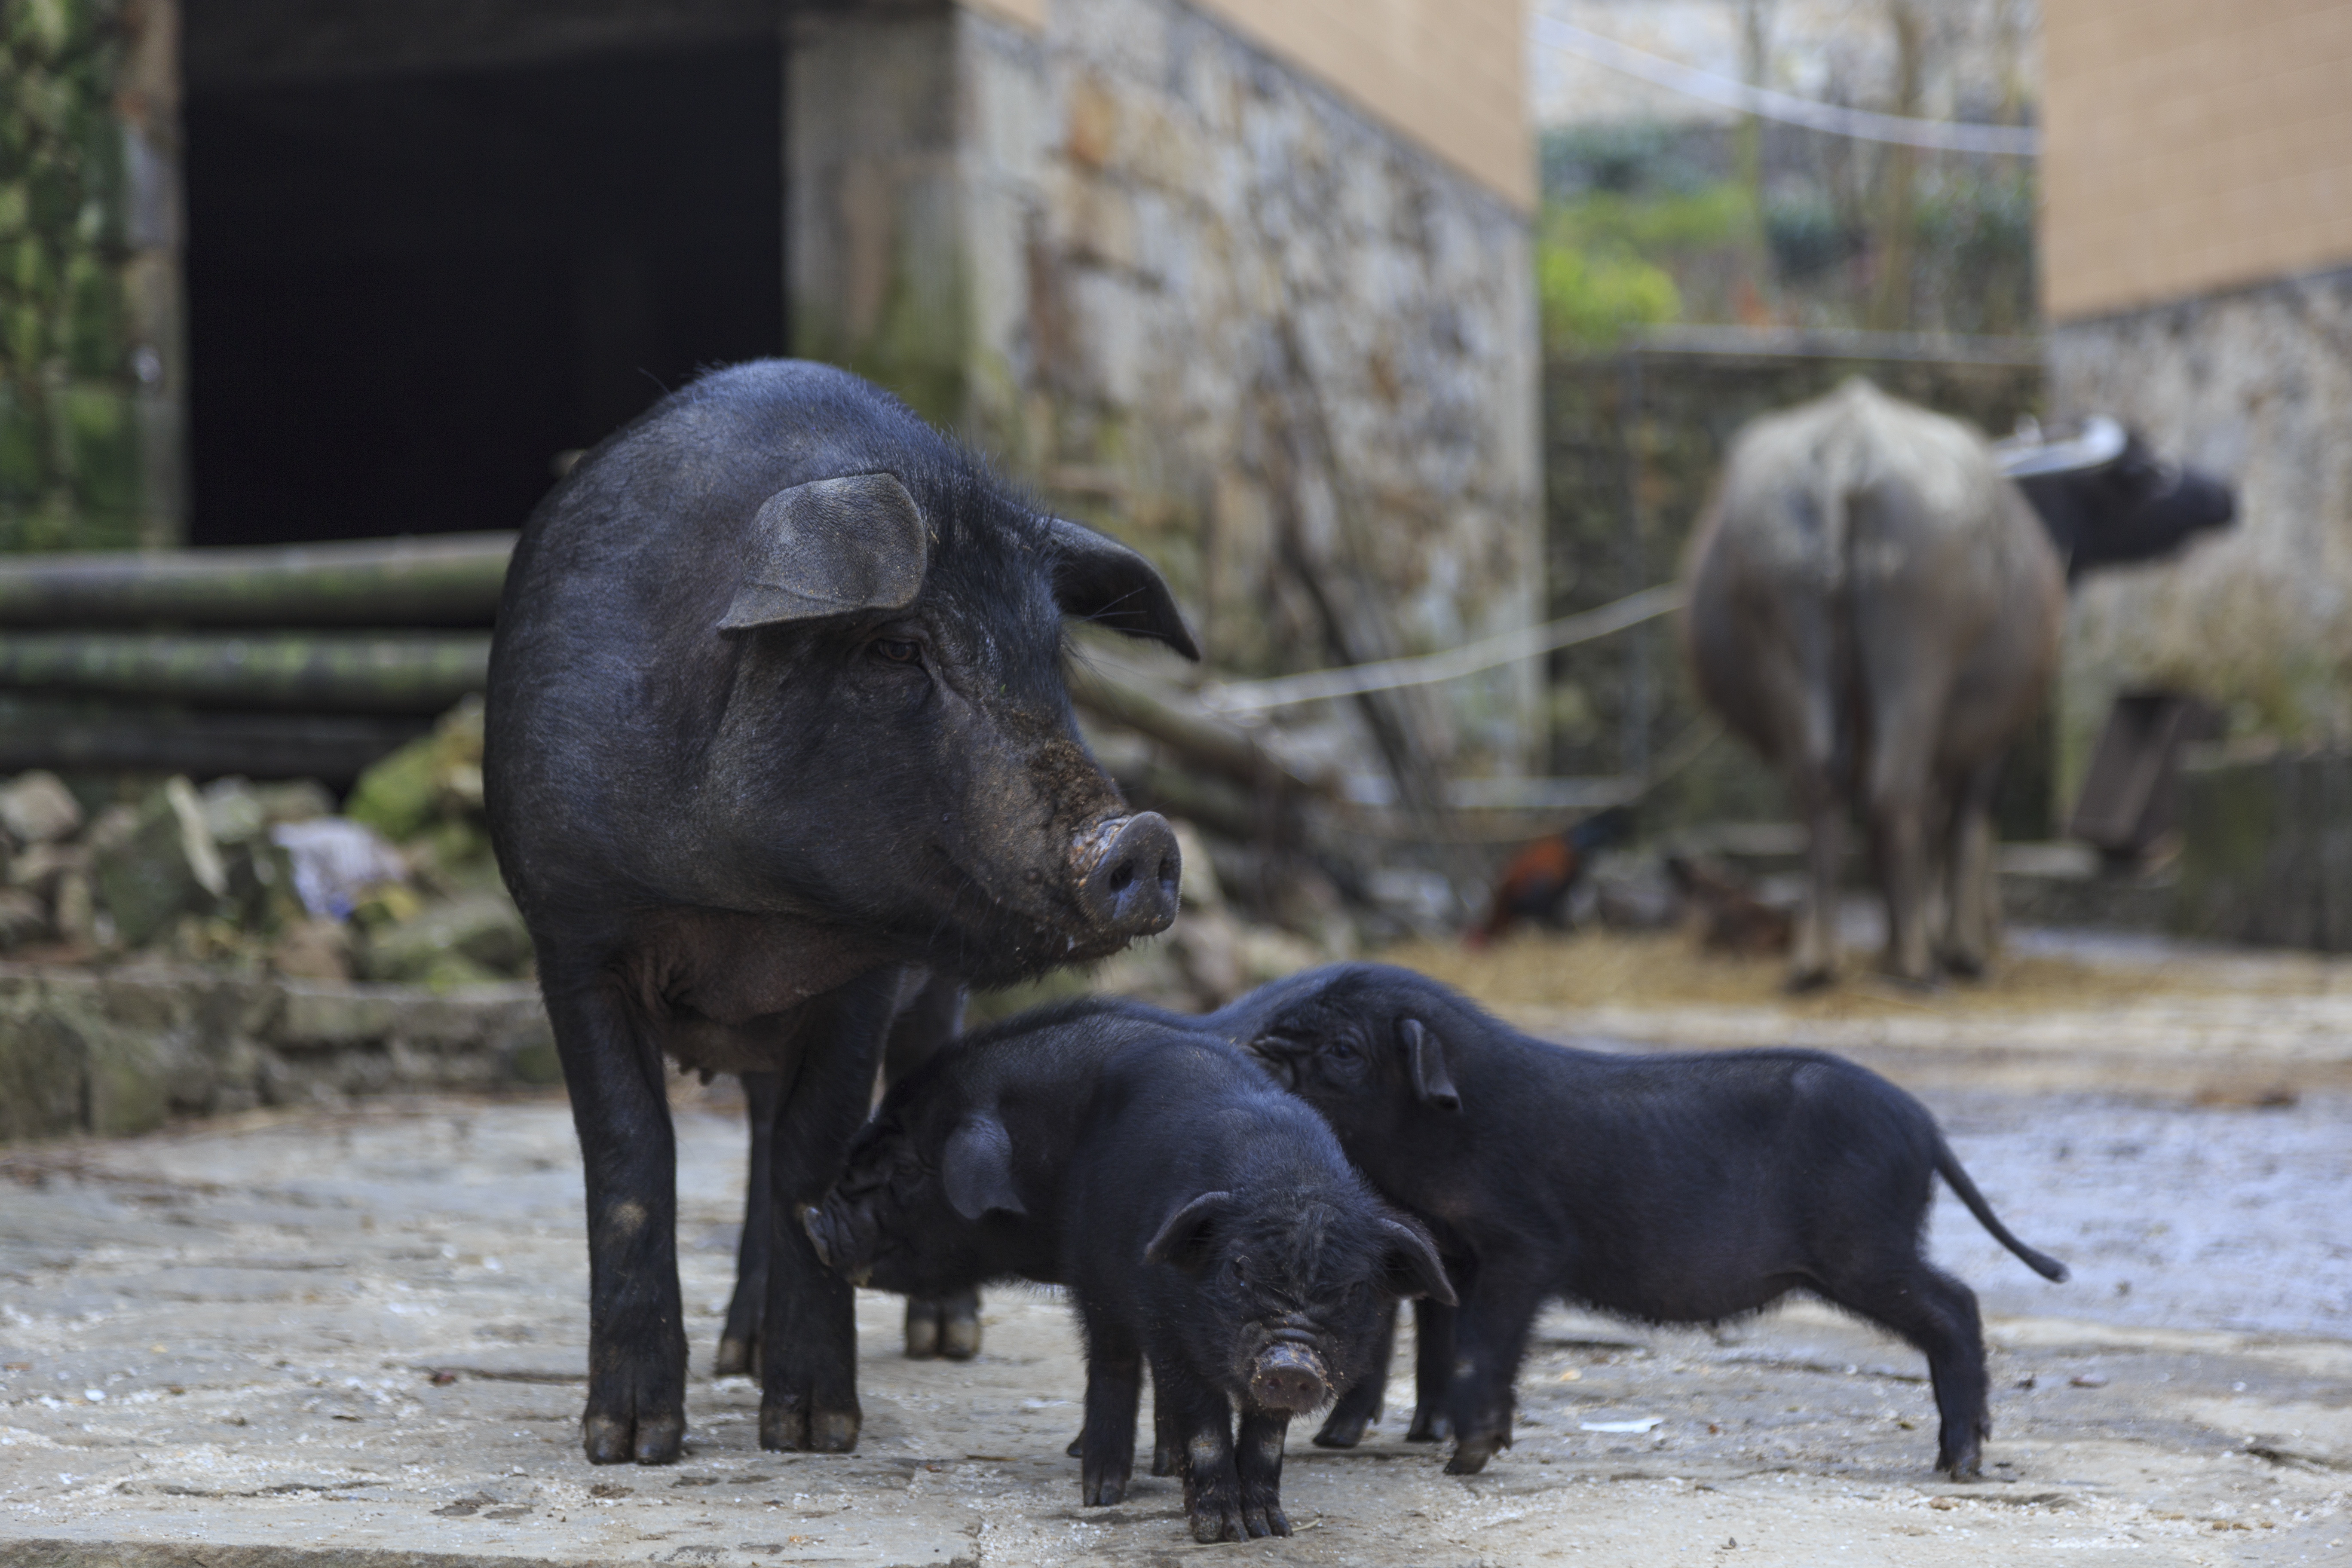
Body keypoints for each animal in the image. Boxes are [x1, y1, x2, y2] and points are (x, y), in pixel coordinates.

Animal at [489, 362, 1204, 1467]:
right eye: (895, 646)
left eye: (1052, 656)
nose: (1144, 838)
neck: (744, 902)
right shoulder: (571, 930)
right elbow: (630, 1153)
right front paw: (630, 1443)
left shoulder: (868, 967)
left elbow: (810, 1153)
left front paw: (813, 1433)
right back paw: (734, 1355)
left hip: (933, 997)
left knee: (899, 1087)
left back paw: (943, 1340)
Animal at [799, 1001, 1449, 1542]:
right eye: (1238, 1271)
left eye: (909, 1169)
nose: (814, 1222)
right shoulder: (1158, 1309)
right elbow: (1201, 1420)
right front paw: (1219, 1531)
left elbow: (1261, 1436)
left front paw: (1268, 1530)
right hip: (1103, 1278)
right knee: (1112, 1360)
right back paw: (1099, 1492)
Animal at [1223, 959, 2070, 1485]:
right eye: (1288, 1022)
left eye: (1343, 1048)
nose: (1252, 1048)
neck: (1449, 1131)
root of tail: (1924, 1126)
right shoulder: (1452, 1250)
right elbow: (1450, 1338)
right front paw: (1460, 1447)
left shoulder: (1526, 1246)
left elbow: (1486, 1344)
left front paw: (1469, 1456)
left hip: (1864, 1246)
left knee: (1957, 1304)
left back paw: (1960, 1465)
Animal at [1693, 381, 2060, 987]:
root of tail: (1847, 445)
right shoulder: (1994, 741)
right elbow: (1966, 831)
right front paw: (1961, 949)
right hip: (1917, 652)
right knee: (1897, 794)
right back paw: (1914, 962)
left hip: (1784, 631)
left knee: (1820, 788)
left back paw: (1818, 959)